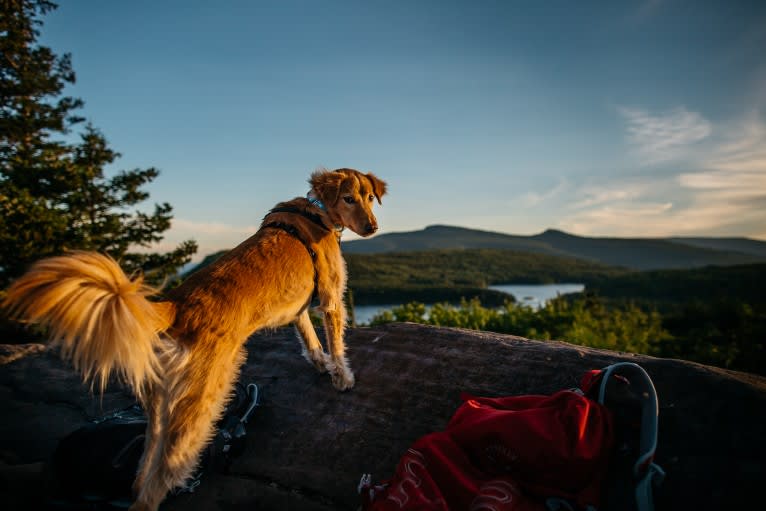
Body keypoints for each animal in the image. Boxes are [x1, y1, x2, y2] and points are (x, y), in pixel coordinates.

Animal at [4, 168, 390, 511]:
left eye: (370, 197)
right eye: (349, 198)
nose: (373, 227)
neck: (319, 210)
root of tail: (176, 307)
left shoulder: (298, 309)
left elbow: (309, 340)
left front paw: (322, 365)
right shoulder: (330, 299)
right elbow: (336, 344)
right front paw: (342, 377)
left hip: (161, 410)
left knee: (143, 471)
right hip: (201, 399)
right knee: (156, 483)